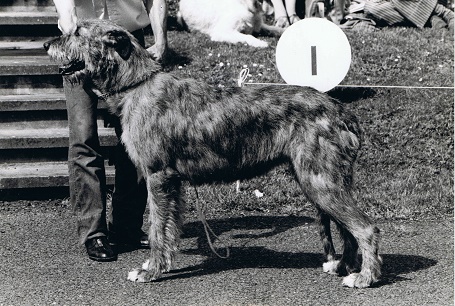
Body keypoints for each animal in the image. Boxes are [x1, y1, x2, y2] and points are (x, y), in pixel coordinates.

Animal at [45, 18, 382, 286]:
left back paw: (364, 277)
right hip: (321, 180)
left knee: (365, 228)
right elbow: (169, 227)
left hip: (320, 180)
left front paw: (150, 271)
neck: (136, 84)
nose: (47, 43)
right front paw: (161, 264)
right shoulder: (173, 181)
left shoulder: (158, 175)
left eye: (78, 32)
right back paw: (342, 266)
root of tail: (344, 113)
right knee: (348, 230)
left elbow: (156, 227)